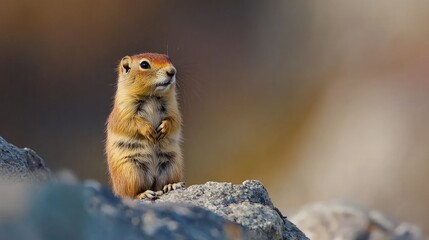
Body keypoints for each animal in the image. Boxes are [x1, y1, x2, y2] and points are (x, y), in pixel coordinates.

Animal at [105, 52, 184, 199]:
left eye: (168, 59)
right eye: (144, 64)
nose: (172, 71)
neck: (152, 96)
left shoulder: (173, 109)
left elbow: (175, 120)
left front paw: (164, 128)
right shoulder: (123, 112)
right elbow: (130, 123)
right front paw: (149, 130)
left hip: (172, 165)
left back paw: (171, 185)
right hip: (131, 171)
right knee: (129, 193)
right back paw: (144, 194)